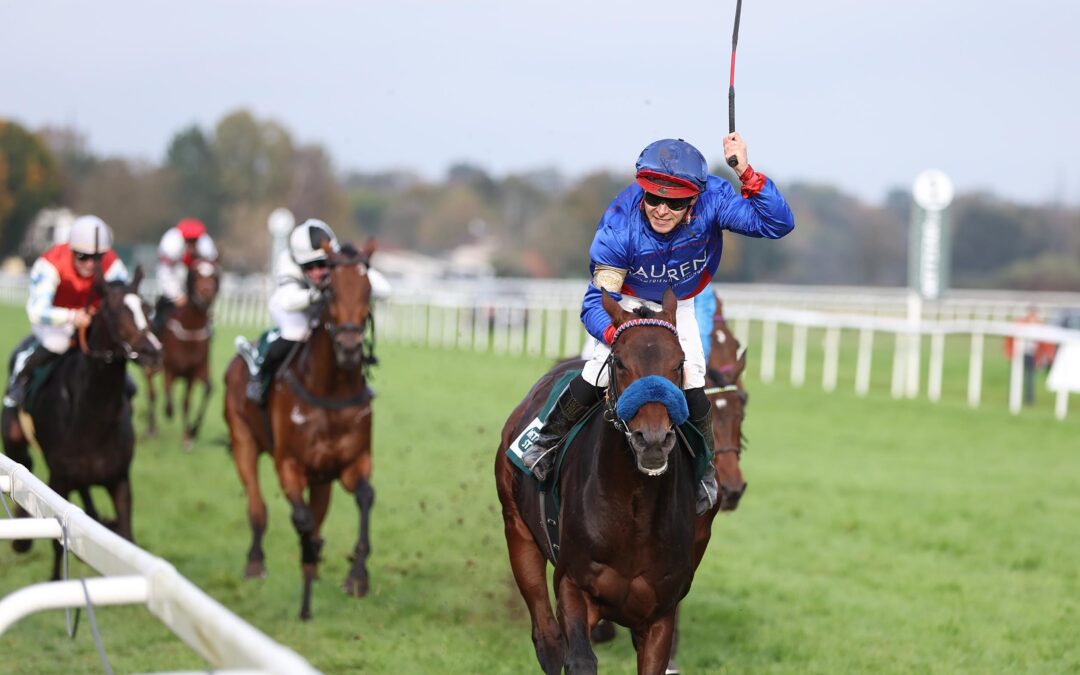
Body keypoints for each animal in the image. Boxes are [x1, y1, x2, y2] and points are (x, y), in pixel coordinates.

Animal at [1, 268, 162, 578]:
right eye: (114, 311)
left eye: (147, 308)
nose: (153, 352)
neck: (92, 418)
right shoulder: (58, 479)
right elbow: (57, 541)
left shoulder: (119, 479)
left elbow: (126, 536)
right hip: (15, 436)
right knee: (22, 463)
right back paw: (21, 541)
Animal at [143, 258, 219, 447]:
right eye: (196, 274)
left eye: (214, 275)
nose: (206, 294)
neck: (190, 331)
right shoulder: (170, 368)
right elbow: (169, 397)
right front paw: (170, 413)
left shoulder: (194, 371)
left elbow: (189, 401)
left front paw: (189, 435)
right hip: (151, 366)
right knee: (152, 392)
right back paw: (152, 428)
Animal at [221, 239, 378, 617]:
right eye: (331, 290)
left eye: (368, 289)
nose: (349, 349)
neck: (329, 389)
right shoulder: (288, 465)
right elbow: (302, 518)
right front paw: (309, 558)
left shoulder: (352, 463)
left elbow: (364, 497)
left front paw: (357, 576)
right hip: (243, 441)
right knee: (258, 507)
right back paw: (255, 561)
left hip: (322, 476)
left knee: (318, 510)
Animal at [496, 289, 699, 673]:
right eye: (619, 362)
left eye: (679, 363)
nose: (652, 440)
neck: (634, 509)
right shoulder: (574, 587)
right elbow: (578, 659)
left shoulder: (659, 613)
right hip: (518, 530)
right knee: (547, 639)